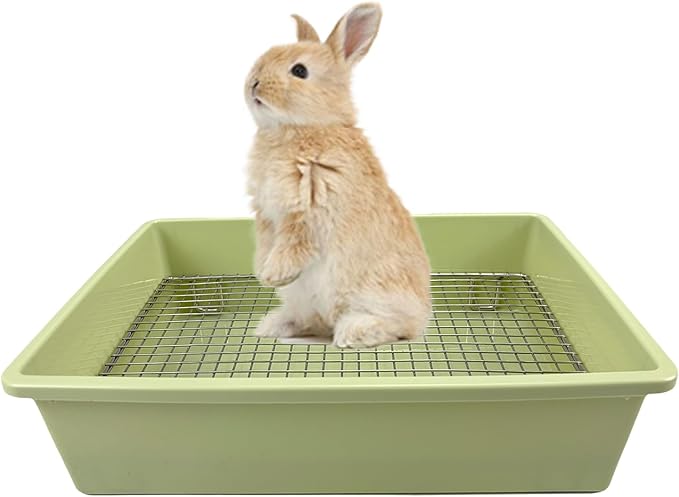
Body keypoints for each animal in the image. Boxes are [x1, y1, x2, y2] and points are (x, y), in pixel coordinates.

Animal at [245, 3, 431, 348]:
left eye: (299, 71)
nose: (253, 83)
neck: (303, 128)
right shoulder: (265, 215)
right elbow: (266, 244)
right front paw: (263, 272)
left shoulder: (307, 209)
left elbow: (293, 245)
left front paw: (274, 275)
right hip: (305, 304)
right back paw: (272, 325)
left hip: (376, 294)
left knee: (398, 327)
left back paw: (352, 332)